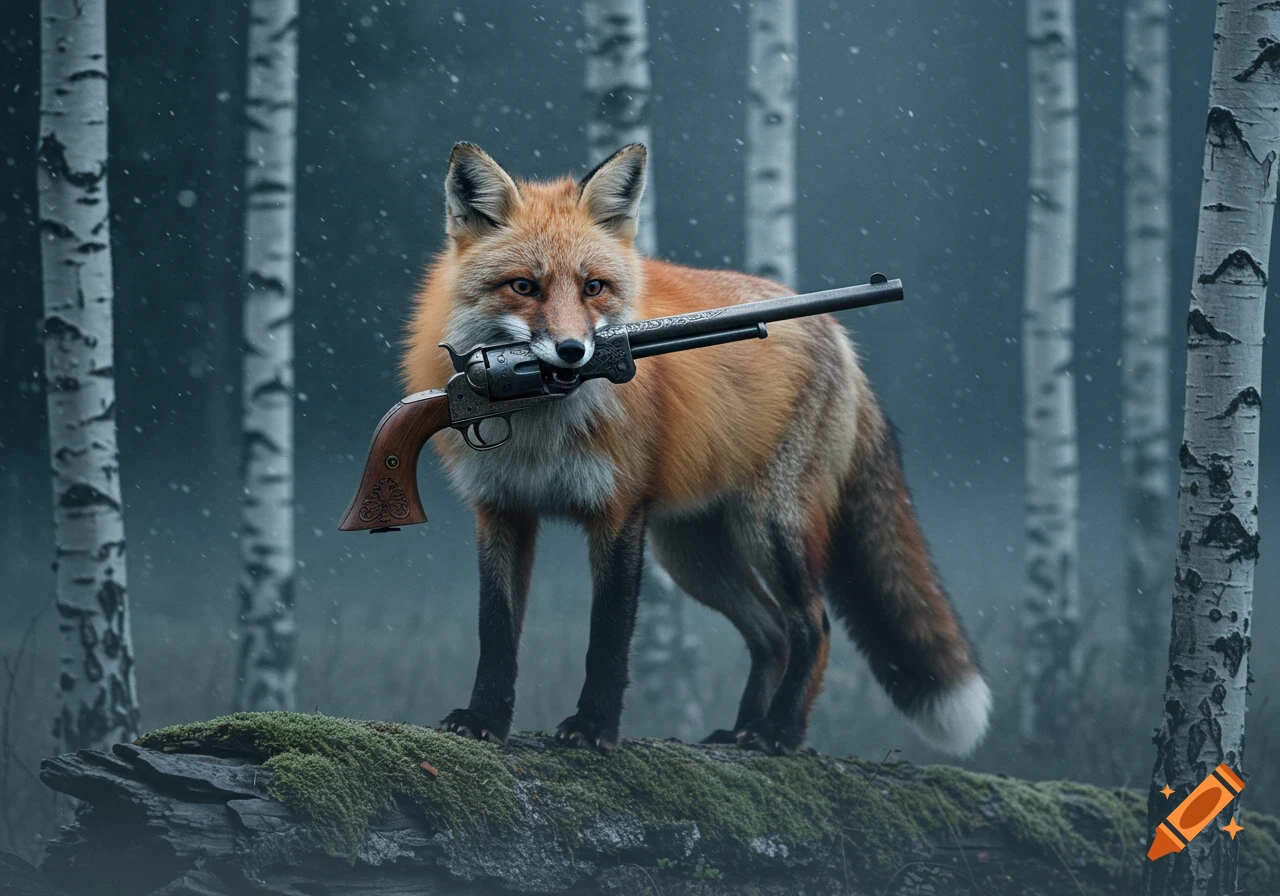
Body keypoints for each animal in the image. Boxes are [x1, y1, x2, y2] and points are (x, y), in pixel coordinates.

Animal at [401, 141, 992, 756]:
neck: (538, 425)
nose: (572, 351)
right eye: (523, 287)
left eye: (593, 287)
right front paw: (483, 718)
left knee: (814, 624)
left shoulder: (619, 513)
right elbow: (495, 629)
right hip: (694, 553)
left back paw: (779, 732)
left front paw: (593, 729)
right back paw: (742, 731)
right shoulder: (501, 510)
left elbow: (608, 635)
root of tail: (835, 330)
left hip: (769, 529)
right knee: (773, 633)